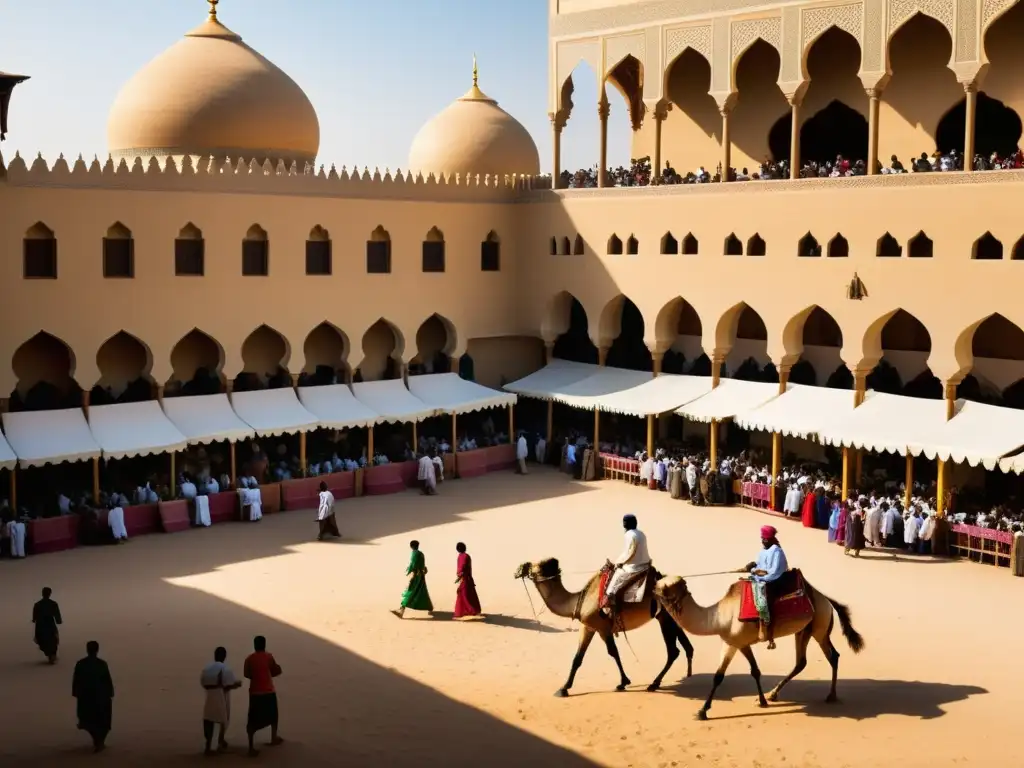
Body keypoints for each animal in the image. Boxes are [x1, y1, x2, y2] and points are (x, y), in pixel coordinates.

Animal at [516, 561, 692, 696]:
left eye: (535, 567)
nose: (519, 570)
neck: (577, 601)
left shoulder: (598, 627)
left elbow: (607, 653)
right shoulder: (592, 627)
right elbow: (584, 656)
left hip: (665, 618)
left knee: (673, 651)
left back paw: (654, 684)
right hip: (667, 616)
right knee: (684, 647)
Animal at [651, 573, 860, 720]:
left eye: (663, 587)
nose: (652, 586)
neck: (718, 617)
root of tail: (826, 599)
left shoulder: (731, 643)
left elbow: (718, 677)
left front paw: (702, 711)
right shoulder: (741, 643)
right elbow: (755, 671)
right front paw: (762, 701)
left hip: (819, 627)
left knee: (832, 656)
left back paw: (831, 695)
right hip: (805, 630)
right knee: (802, 662)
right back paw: (774, 694)